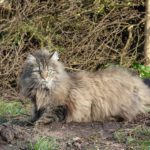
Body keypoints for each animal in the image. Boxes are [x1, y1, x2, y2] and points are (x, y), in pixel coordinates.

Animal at [18, 49, 150, 125]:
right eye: (38, 71)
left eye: (49, 71)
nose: (44, 78)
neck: (42, 91)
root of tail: (136, 81)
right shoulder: (37, 105)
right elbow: (35, 114)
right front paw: (29, 121)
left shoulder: (59, 106)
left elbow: (46, 116)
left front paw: (36, 124)